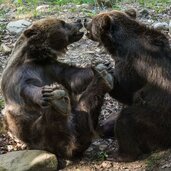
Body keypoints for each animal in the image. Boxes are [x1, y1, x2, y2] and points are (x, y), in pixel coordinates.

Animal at [1, 16, 113, 162]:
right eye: (62, 23)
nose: (79, 20)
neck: (35, 57)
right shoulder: (19, 76)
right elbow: (27, 89)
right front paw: (48, 91)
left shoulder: (52, 68)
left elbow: (73, 76)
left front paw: (103, 65)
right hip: (40, 136)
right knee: (51, 126)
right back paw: (57, 99)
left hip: (78, 120)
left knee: (86, 110)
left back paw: (103, 77)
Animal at [84, 9, 171, 162]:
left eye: (92, 20)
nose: (84, 21)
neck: (118, 46)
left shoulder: (133, 63)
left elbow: (125, 90)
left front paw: (106, 74)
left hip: (156, 118)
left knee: (127, 120)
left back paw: (119, 154)